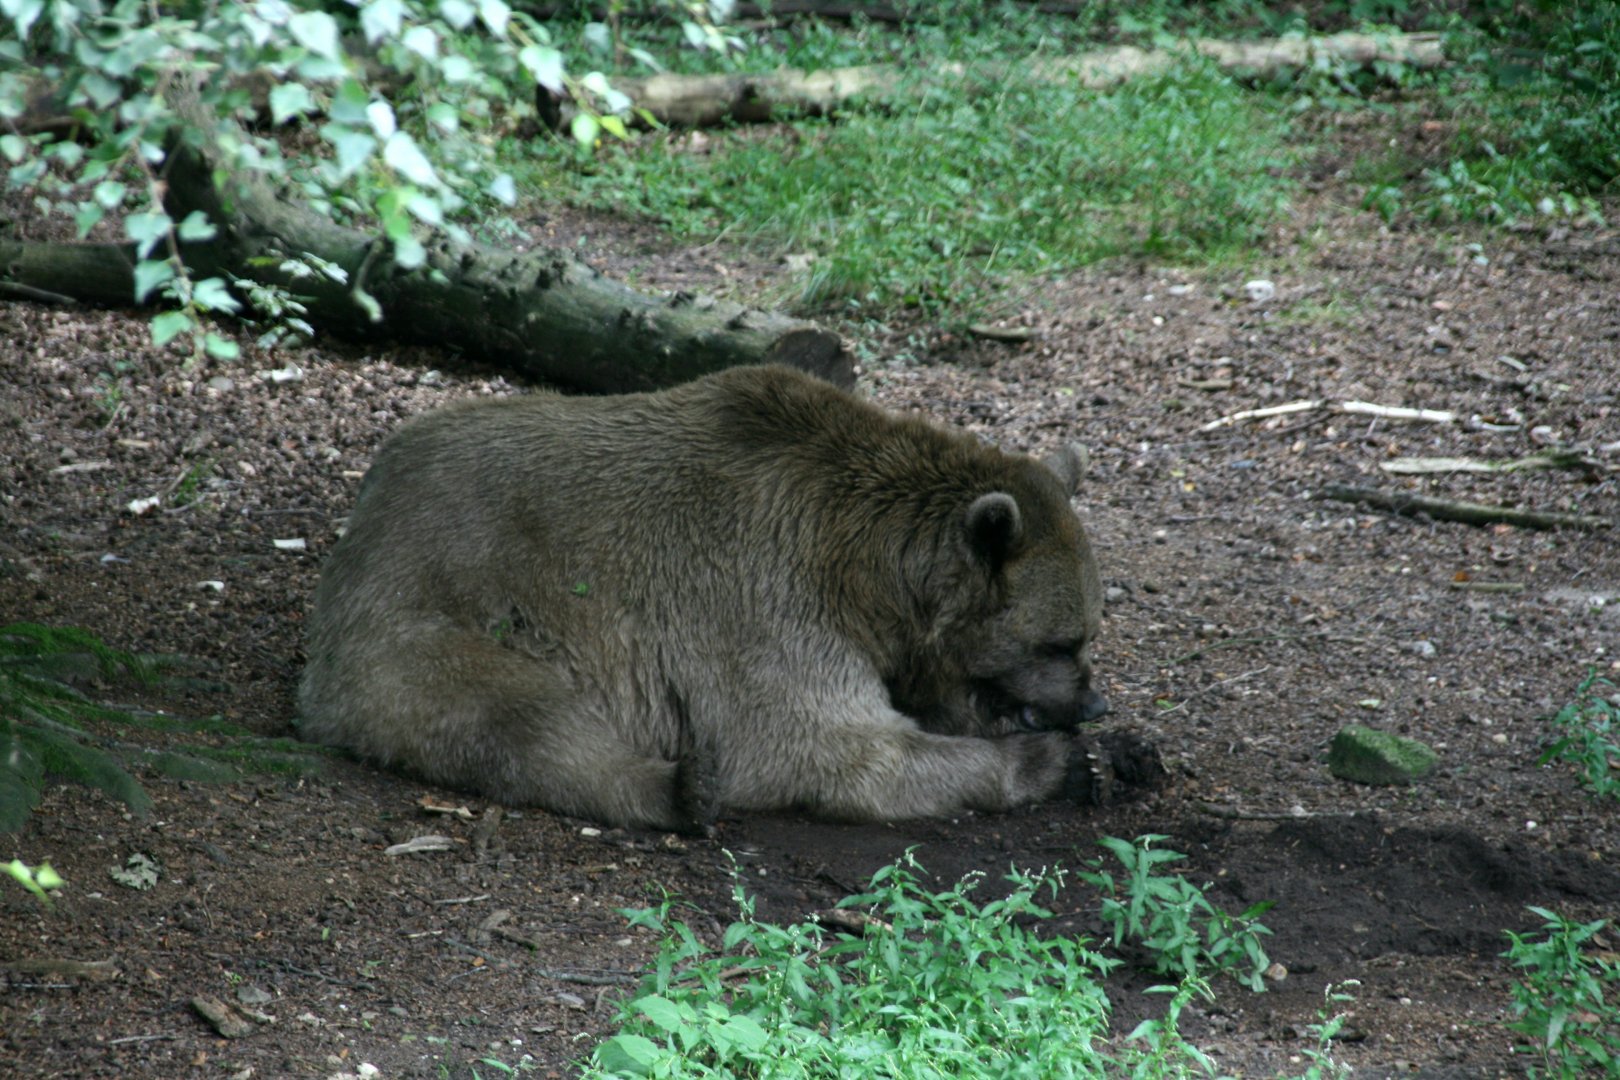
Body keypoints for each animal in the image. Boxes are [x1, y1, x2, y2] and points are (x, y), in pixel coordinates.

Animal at [297, 364, 1142, 831]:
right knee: (523, 722)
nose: (1092, 698)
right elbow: (826, 746)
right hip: (436, 615)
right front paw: (1053, 762)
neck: (868, 578)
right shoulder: (765, 601)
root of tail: (367, 503)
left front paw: (1125, 753)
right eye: (1061, 639)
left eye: (1089, 632)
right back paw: (679, 787)